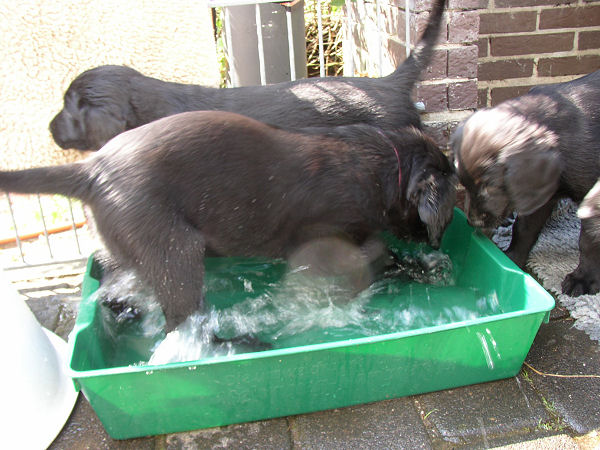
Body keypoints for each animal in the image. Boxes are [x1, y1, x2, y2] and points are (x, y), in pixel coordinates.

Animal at [3, 111, 457, 331]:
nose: (436, 245)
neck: (385, 168)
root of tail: (91, 169)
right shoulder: (326, 240)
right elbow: (372, 257)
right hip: (177, 253)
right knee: (180, 324)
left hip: (123, 248)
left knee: (113, 287)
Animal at [451, 70, 600, 296]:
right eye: (465, 184)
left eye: (490, 185)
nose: (473, 222)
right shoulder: (540, 193)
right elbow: (524, 229)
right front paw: (512, 259)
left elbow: (589, 239)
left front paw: (582, 279)